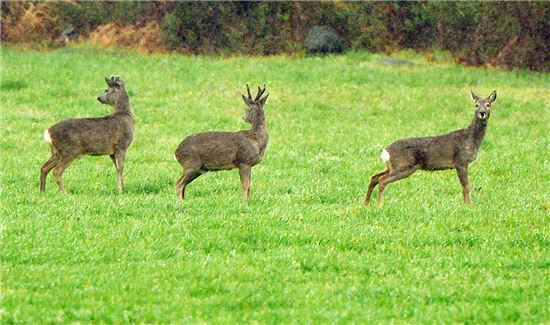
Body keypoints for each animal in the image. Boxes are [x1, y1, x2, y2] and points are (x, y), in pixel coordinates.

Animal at [366, 89, 500, 205]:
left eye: (488, 105)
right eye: (476, 105)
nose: (482, 113)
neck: (471, 139)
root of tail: (386, 150)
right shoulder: (460, 161)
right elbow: (466, 186)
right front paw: (468, 205)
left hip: (393, 166)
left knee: (374, 177)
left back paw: (366, 204)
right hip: (403, 165)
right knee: (382, 179)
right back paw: (380, 205)